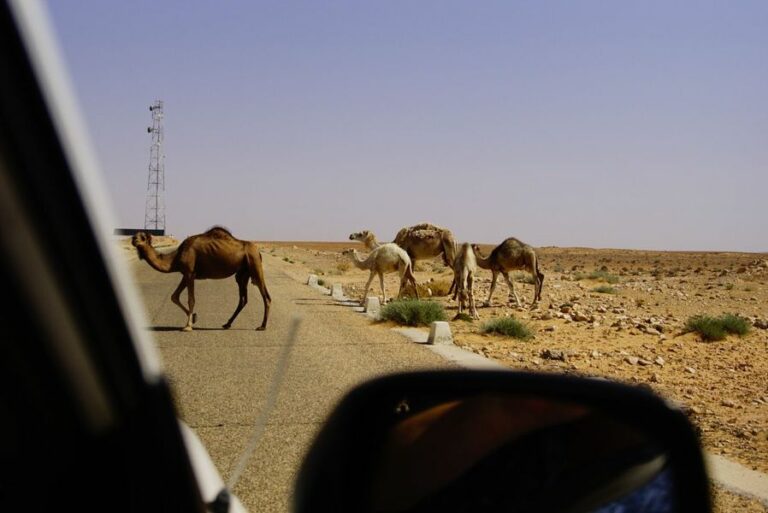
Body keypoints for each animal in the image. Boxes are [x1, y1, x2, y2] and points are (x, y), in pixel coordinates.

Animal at [128, 226, 268, 330]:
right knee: (243, 299)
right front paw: (194, 317)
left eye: (143, 237)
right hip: (242, 273)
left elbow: (191, 299)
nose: (133, 239)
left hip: (254, 264)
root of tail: (258, 251)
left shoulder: (190, 273)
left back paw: (262, 326)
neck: (175, 259)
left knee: (266, 296)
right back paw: (227, 324)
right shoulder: (186, 274)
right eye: (135, 235)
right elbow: (174, 296)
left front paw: (188, 326)